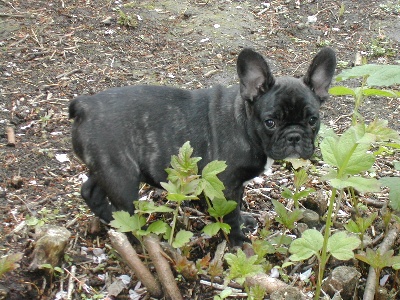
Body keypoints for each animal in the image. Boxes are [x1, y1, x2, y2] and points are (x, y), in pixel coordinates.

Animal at [70, 47, 336, 246]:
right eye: (270, 122)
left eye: (313, 120)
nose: (294, 136)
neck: (245, 123)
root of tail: (85, 106)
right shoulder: (227, 183)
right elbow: (229, 211)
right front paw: (238, 241)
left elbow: (234, 206)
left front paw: (243, 221)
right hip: (122, 178)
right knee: (127, 213)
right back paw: (141, 240)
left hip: (107, 167)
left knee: (91, 192)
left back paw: (109, 220)